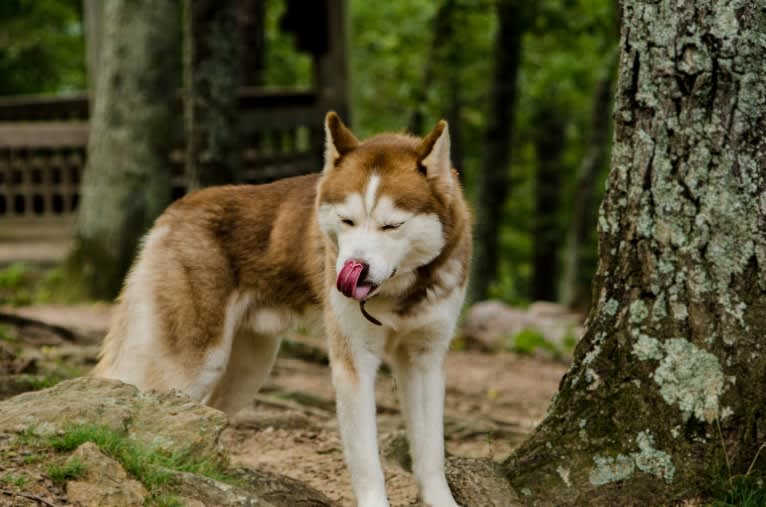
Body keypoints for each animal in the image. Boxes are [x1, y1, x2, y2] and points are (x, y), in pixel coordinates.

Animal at [93, 112, 472, 507]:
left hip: (248, 369)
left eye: (391, 225)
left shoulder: (425, 360)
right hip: (191, 365)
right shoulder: (354, 363)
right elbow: (368, 463)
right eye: (347, 220)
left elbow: (431, 456)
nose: (350, 271)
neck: (401, 293)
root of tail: (176, 209)